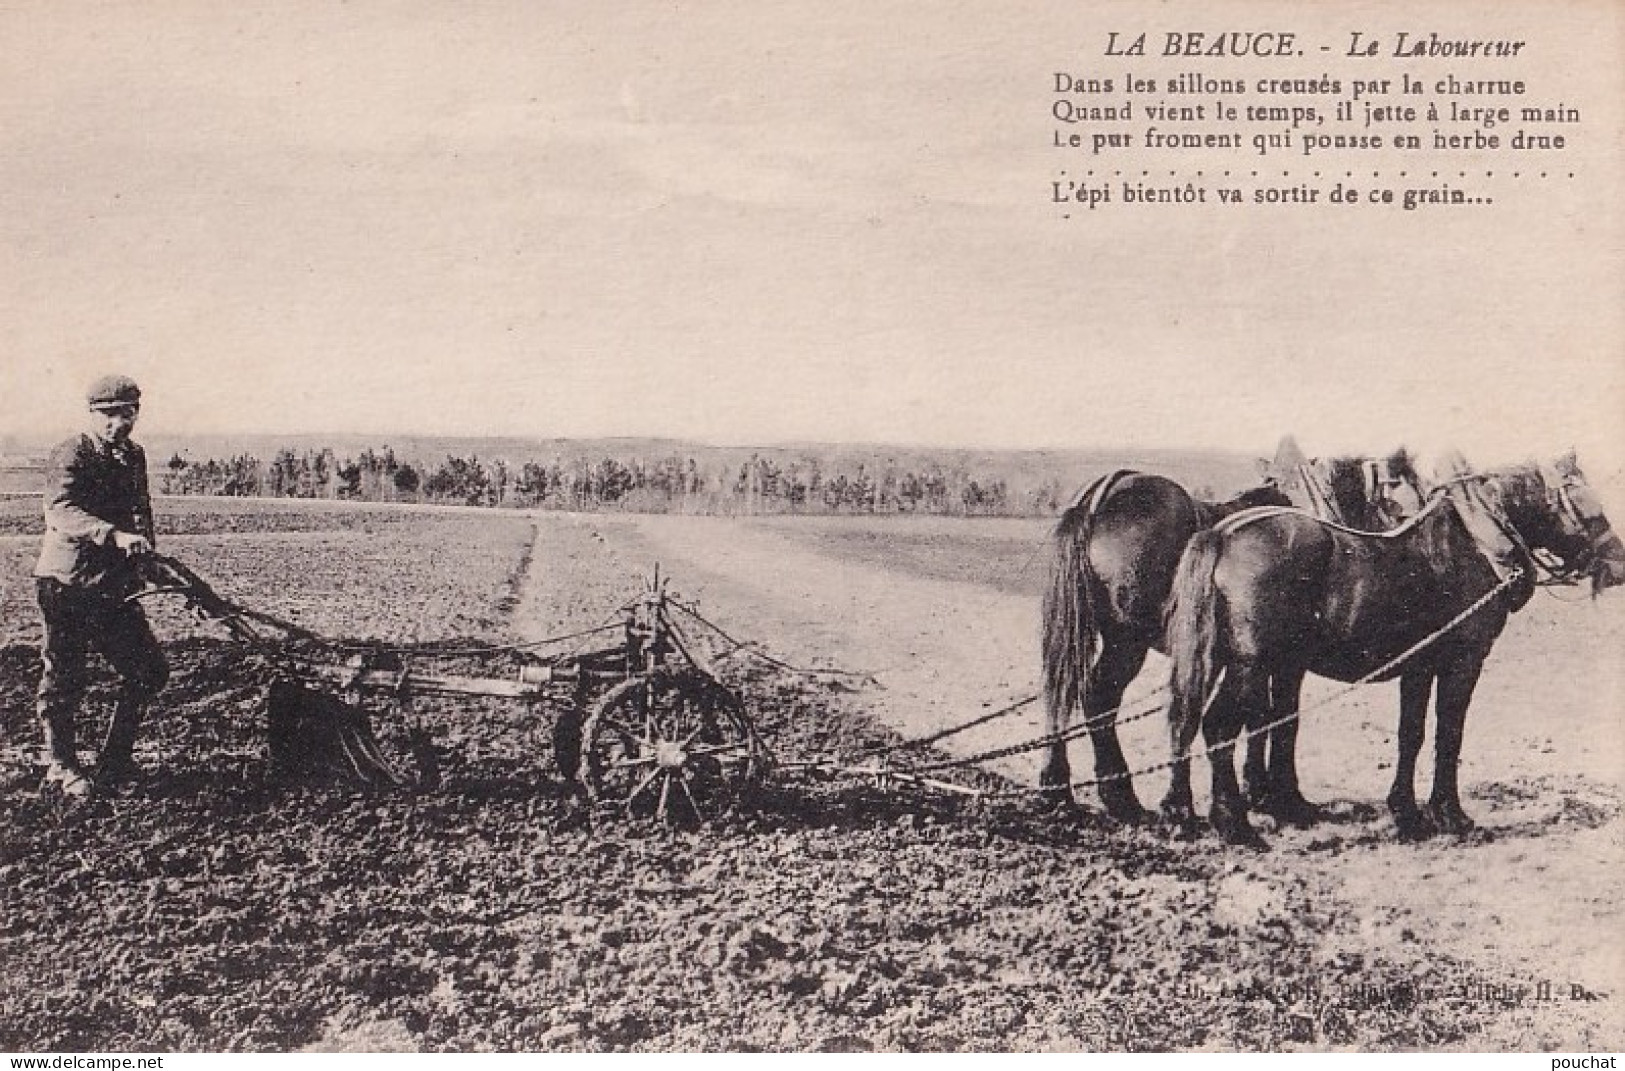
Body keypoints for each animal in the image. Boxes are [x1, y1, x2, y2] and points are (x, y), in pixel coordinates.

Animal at [1040, 474, 1293, 822]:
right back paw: (1124, 797)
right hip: (1127, 643)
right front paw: (1260, 792)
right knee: (1099, 696)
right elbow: (1262, 717)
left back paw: (1062, 790)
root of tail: (1096, 504)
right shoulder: (1258, 661)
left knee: (1067, 693)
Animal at [1163, 451, 1618, 845]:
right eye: (1582, 499)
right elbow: (1449, 734)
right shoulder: (1463, 662)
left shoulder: (1418, 667)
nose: (1617, 564)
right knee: (1218, 726)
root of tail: (1223, 534)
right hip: (1251, 664)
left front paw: (1408, 813)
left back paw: (1185, 812)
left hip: (1227, 659)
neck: (1476, 540)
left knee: (1187, 722)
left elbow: (1410, 735)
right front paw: (1451, 814)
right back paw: (1235, 825)